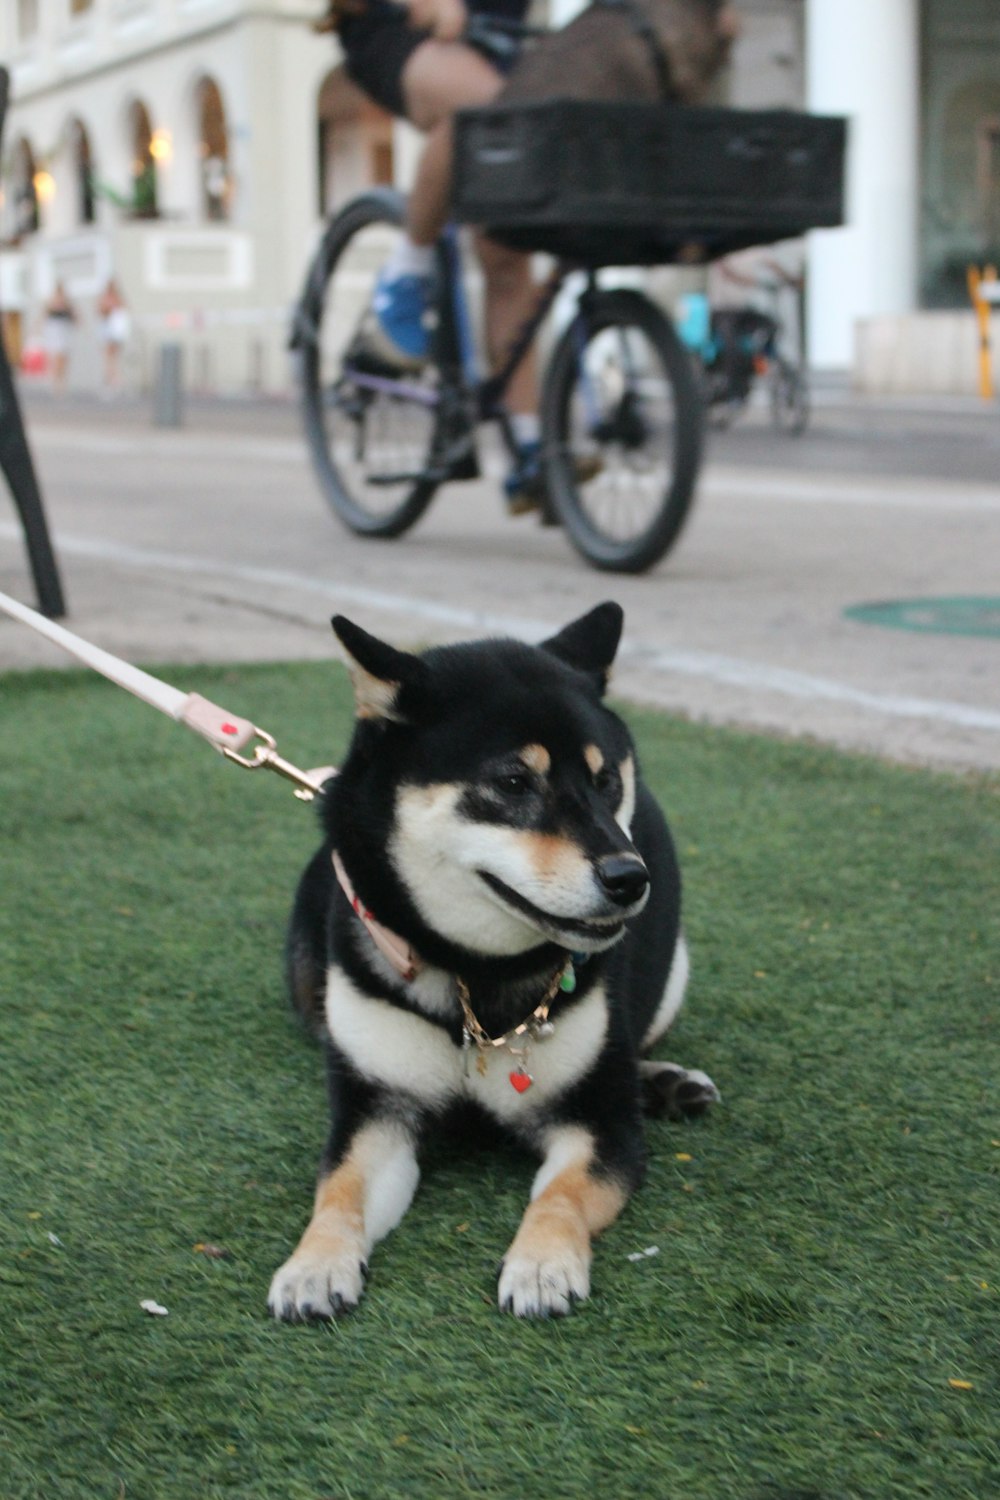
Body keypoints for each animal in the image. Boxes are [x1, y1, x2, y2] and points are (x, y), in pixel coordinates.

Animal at [269, 603, 716, 1320]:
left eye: (606, 781)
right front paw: (314, 1265)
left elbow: (561, 1195)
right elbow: (338, 1190)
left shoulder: (602, 1127)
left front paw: (541, 1263)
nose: (630, 877)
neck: (475, 974)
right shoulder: (375, 1113)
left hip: (672, 970)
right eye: (512, 782)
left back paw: (665, 1082)